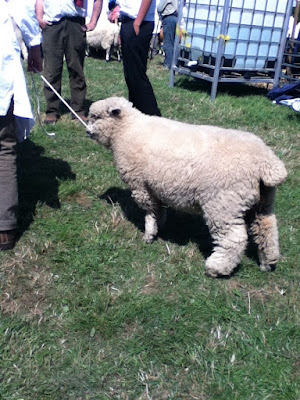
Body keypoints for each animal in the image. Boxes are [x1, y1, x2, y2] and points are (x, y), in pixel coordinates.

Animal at [87, 97, 288, 278]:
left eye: (95, 117)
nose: (87, 132)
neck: (127, 130)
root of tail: (266, 162)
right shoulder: (155, 186)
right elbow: (159, 209)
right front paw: (159, 225)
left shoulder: (141, 185)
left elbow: (151, 211)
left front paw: (149, 234)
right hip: (263, 201)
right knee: (267, 229)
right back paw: (267, 263)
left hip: (223, 204)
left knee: (233, 239)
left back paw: (216, 268)